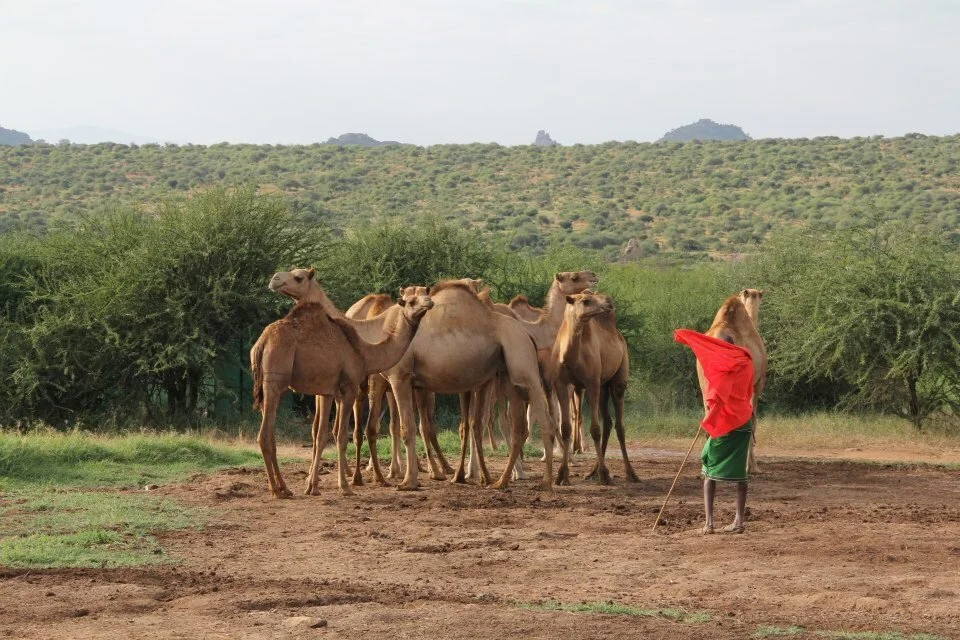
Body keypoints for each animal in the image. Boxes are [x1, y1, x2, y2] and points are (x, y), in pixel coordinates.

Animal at [250, 268, 433, 498]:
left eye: (425, 294)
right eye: (411, 301)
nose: (429, 303)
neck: (364, 351)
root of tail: (261, 343)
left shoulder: (329, 391)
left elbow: (322, 435)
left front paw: (313, 486)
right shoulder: (349, 388)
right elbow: (341, 436)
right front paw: (345, 486)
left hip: (266, 388)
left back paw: (284, 487)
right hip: (274, 384)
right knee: (265, 435)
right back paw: (278, 489)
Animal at [368, 279, 559, 491]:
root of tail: (528, 335)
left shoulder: (399, 377)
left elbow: (407, 429)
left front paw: (408, 482)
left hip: (523, 363)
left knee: (545, 422)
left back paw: (546, 483)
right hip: (509, 377)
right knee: (519, 427)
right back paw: (500, 482)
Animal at [547, 291, 639, 485]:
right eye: (585, 301)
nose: (608, 304)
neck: (570, 357)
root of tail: (618, 335)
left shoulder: (592, 383)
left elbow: (595, 429)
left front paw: (605, 475)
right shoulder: (561, 384)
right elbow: (565, 428)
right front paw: (562, 475)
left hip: (618, 378)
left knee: (619, 425)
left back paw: (630, 474)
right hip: (603, 386)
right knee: (608, 422)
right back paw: (592, 472)